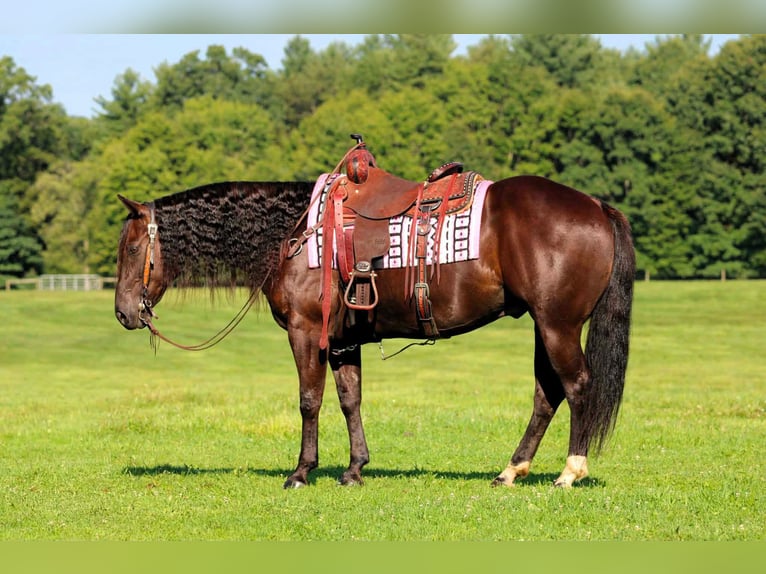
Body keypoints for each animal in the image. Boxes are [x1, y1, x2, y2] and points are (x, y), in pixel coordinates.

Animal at [114, 151, 635, 489]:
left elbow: (309, 401)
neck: (295, 232)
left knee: (576, 385)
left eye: (132, 249)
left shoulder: (307, 333)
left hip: (557, 324)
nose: (122, 312)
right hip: (543, 325)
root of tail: (596, 205)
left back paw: (570, 471)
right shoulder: (344, 340)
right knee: (547, 393)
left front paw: (301, 472)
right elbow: (350, 400)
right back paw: (511, 470)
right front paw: (354, 469)